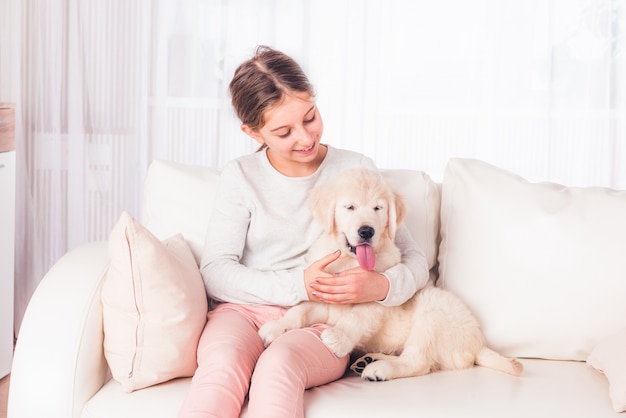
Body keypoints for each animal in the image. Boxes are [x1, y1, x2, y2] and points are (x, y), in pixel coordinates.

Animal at [256, 168, 520, 380]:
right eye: (349, 207)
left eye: (377, 208)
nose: (366, 231)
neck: (349, 262)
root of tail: (478, 343)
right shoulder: (322, 296)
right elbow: (299, 311)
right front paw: (276, 327)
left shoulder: (374, 300)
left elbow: (355, 318)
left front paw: (338, 338)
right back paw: (368, 360)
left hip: (433, 314)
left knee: (418, 362)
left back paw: (379, 369)